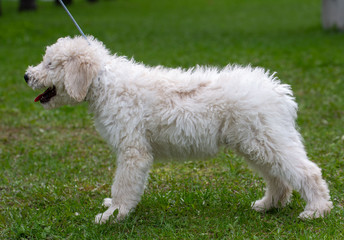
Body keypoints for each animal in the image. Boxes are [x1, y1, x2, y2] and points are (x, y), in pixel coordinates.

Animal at [24, 35, 334, 223]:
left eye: (50, 64)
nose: (27, 75)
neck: (105, 83)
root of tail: (279, 90)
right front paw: (112, 207)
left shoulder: (133, 151)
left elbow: (124, 184)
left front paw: (114, 214)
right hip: (257, 144)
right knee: (278, 177)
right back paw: (269, 204)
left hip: (266, 140)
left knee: (307, 171)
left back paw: (316, 210)